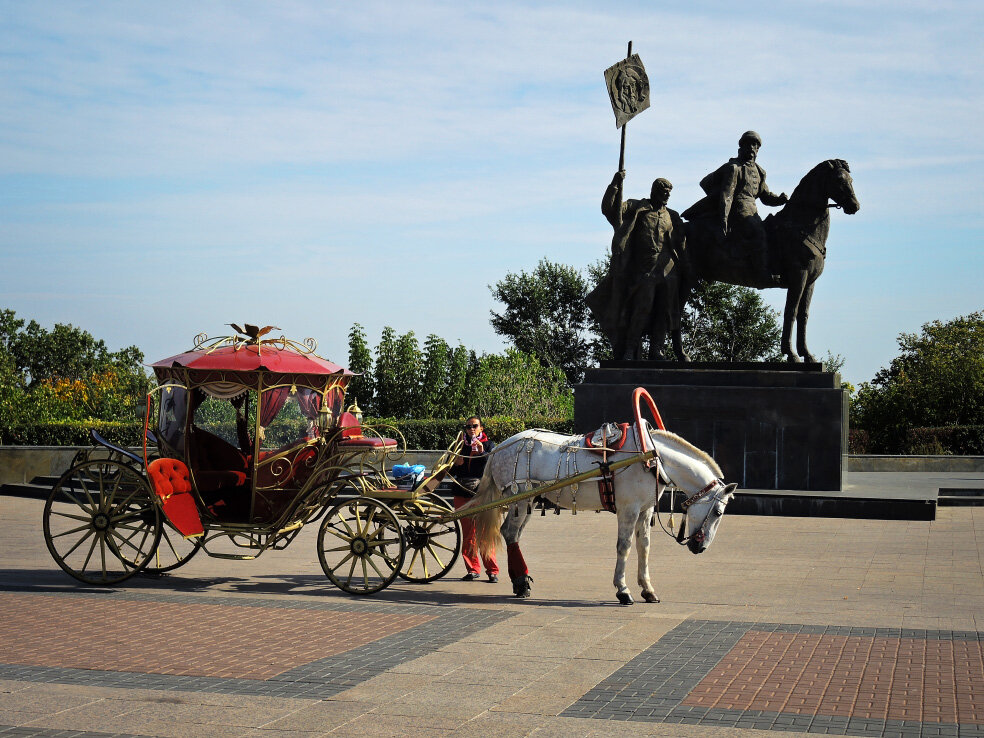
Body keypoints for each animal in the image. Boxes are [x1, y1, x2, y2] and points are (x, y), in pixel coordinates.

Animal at [470, 420, 736, 604]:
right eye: (718, 512)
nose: (700, 547)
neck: (652, 458)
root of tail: (500, 447)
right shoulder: (628, 508)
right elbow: (624, 546)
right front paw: (623, 590)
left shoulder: (645, 509)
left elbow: (644, 546)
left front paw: (647, 589)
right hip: (520, 497)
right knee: (509, 532)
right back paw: (521, 582)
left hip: (529, 500)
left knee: (513, 535)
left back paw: (520, 581)